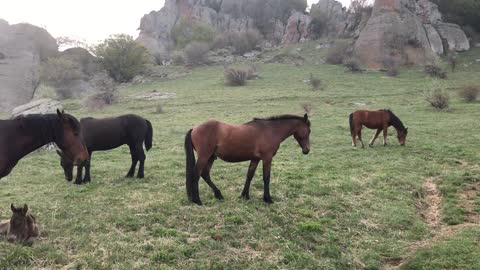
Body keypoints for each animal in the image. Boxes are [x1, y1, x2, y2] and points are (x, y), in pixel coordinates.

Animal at [184, 113, 312, 205]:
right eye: (309, 130)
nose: (307, 150)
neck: (271, 130)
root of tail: (194, 128)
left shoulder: (255, 159)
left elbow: (249, 175)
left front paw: (244, 196)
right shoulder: (267, 158)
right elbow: (266, 178)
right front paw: (267, 199)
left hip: (211, 157)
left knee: (205, 174)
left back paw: (218, 195)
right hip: (204, 157)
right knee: (196, 175)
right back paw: (197, 200)